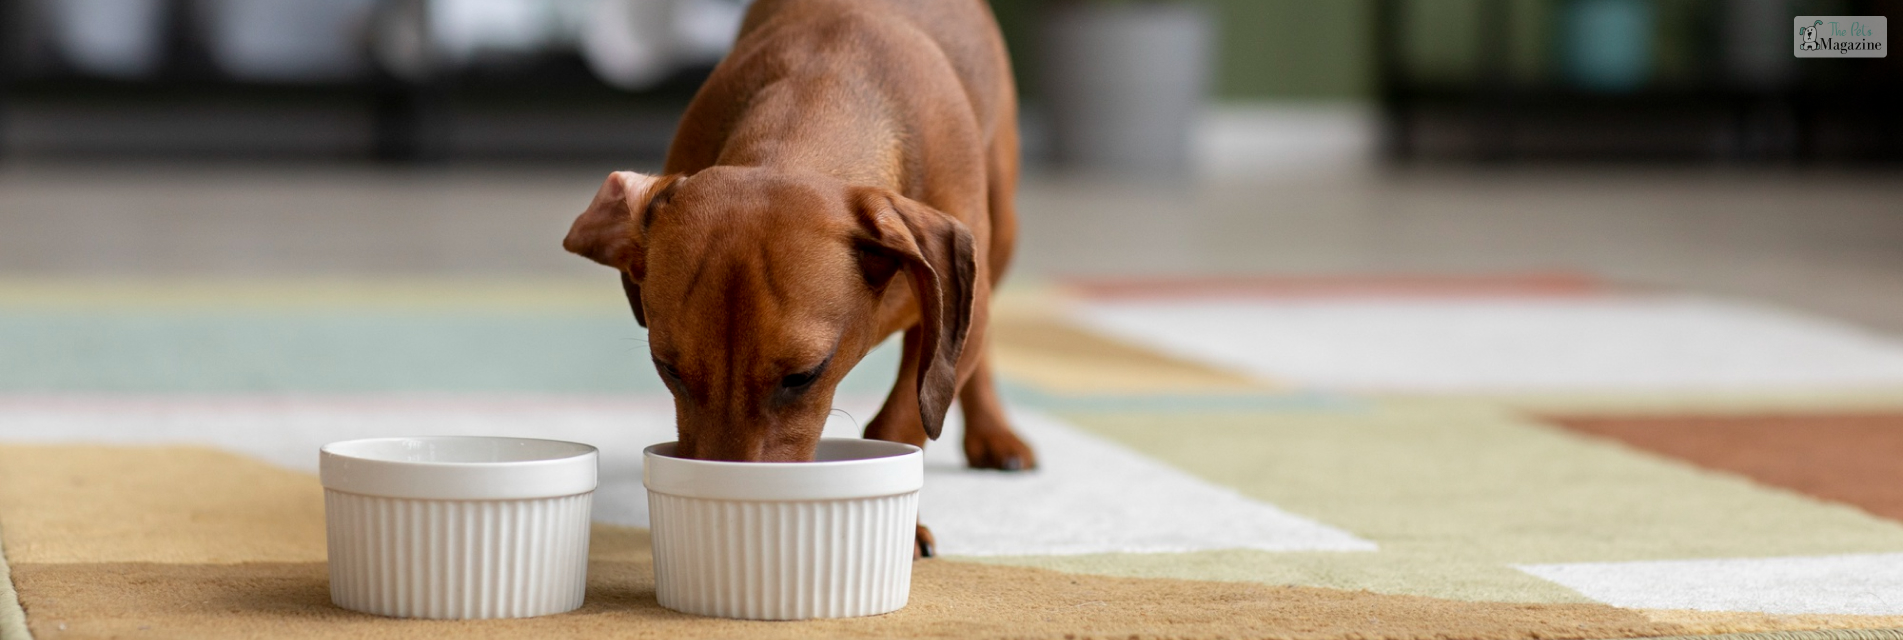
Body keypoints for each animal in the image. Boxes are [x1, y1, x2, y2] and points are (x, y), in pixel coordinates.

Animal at [559, 0, 1035, 556]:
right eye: (668, 368)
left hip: (1000, 234)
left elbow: (902, 418)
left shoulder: (958, 312)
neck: (824, 89)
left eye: (804, 376)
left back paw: (993, 431)